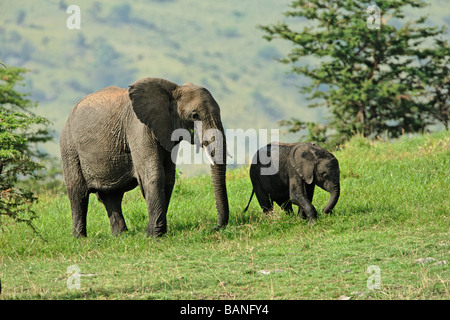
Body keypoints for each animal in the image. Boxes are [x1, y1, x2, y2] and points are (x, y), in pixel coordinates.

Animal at [59, 78, 229, 238]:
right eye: (194, 115)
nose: (215, 227)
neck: (173, 90)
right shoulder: (138, 128)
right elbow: (154, 175)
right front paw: (154, 235)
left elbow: (168, 178)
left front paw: (154, 232)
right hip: (69, 147)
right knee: (78, 192)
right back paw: (80, 238)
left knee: (112, 195)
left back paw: (120, 235)